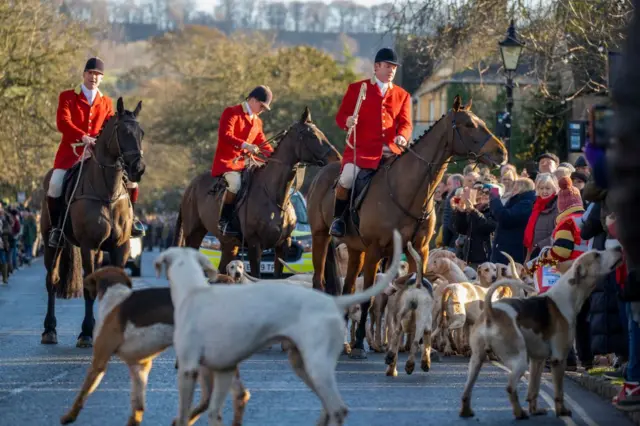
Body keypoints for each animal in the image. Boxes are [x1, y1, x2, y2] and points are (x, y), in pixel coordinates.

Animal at [40, 98, 146, 348]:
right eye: (124, 132)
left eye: (142, 133)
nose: (138, 169)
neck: (107, 191)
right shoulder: (88, 246)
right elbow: (88, 289)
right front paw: (86, 333)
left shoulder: (119, 247)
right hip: (52, 245)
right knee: (51, 281)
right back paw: (49, 329)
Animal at [172, 107, 342, 276]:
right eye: (312, 135)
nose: (337, 159)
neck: (275, 196)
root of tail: (191, 186)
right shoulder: (255, 245)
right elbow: (256, 275)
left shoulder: (282, 245)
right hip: (194, 234)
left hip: (229, 245)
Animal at [308, 95, 508, 358]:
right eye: (468, 125)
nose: (501, 152)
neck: (407, 190)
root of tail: (323, 172)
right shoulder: (375, 251)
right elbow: (369, 298)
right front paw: (362, 342)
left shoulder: (418, 250)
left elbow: (419, 291)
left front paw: (417, 343)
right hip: (321, 237)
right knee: (319, 282)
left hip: (355, 250)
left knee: (348, 288)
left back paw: (344, 343)